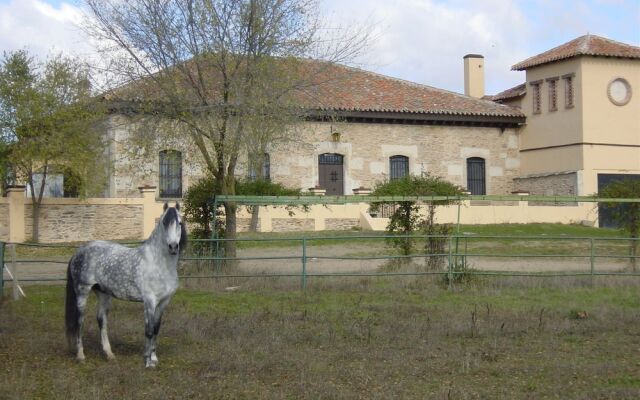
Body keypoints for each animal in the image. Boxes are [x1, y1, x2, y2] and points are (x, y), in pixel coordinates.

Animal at [64, 205, 186, 368]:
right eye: (164, 223)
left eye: (180, 223)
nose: (173, 246)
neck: (159, 263)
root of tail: (78, 252)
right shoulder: (149, 301)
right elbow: (148, 331)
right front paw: (148, 362)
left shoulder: (163, 302)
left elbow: (156, 329)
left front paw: (154, 358)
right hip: (82, 291)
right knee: (79, 322)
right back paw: (80, 356)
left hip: (103, 293)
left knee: (101, 320)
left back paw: (109, 354)